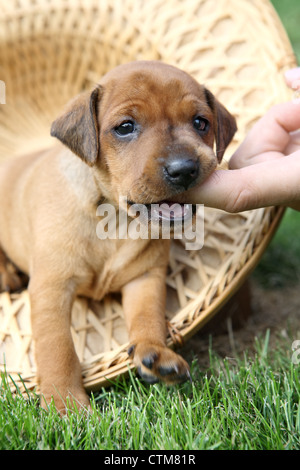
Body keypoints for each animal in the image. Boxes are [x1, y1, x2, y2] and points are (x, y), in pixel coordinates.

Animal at [0, 60, 236, 410]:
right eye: (125, 127)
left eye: (200, 122)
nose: (184, 169)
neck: (115, 219)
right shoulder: (52, 287)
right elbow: (57, 347)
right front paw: (65, 404)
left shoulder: (144, 277)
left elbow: (148, 315)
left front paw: (155, 352)